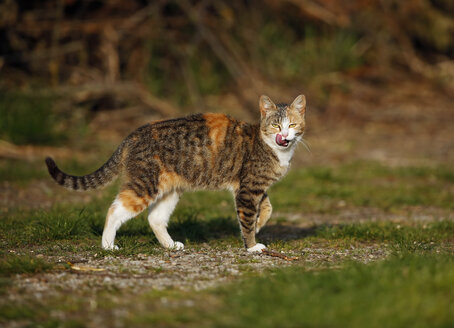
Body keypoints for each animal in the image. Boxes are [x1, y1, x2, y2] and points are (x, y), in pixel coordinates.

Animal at [46, 93, 306, 252]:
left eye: (292, 125)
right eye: (276, 125)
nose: (284, 135)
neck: (270, 146)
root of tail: (134, 134)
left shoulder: (255, 188)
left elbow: (268, 209)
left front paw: (259, 226)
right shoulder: (248, 190)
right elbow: (248, 218)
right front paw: (252, 246)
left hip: (170, 189)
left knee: (155, 218)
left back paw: (170, 245)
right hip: (145, 184)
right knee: (115, 209)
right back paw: (108, 246)